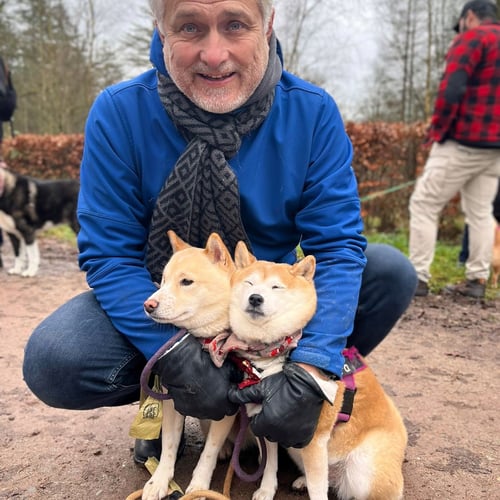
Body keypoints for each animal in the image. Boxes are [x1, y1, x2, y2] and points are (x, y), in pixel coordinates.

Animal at [227, 241, 408, 500]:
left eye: (276, 287)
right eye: (249, 283)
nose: (255, 298)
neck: (272, 355)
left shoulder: (313, 438)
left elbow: (317, 490)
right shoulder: (270, 424)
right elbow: (270, 465)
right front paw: (266, 489)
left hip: (363, 471)